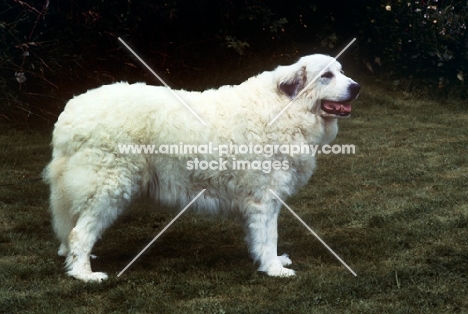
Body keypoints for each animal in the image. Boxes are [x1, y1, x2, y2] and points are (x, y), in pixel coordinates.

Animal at [44, 54, 360, 282]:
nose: (356, 87)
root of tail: (71, 111)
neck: (284, 109)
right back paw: (84, 274)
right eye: (327, 76)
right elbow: (269, 236)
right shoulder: (265, 198)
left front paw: (268, 261)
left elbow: (258, 237)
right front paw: (274, 269)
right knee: (79, 233)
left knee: (70, 228)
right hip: (109, 186)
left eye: (342, 71)